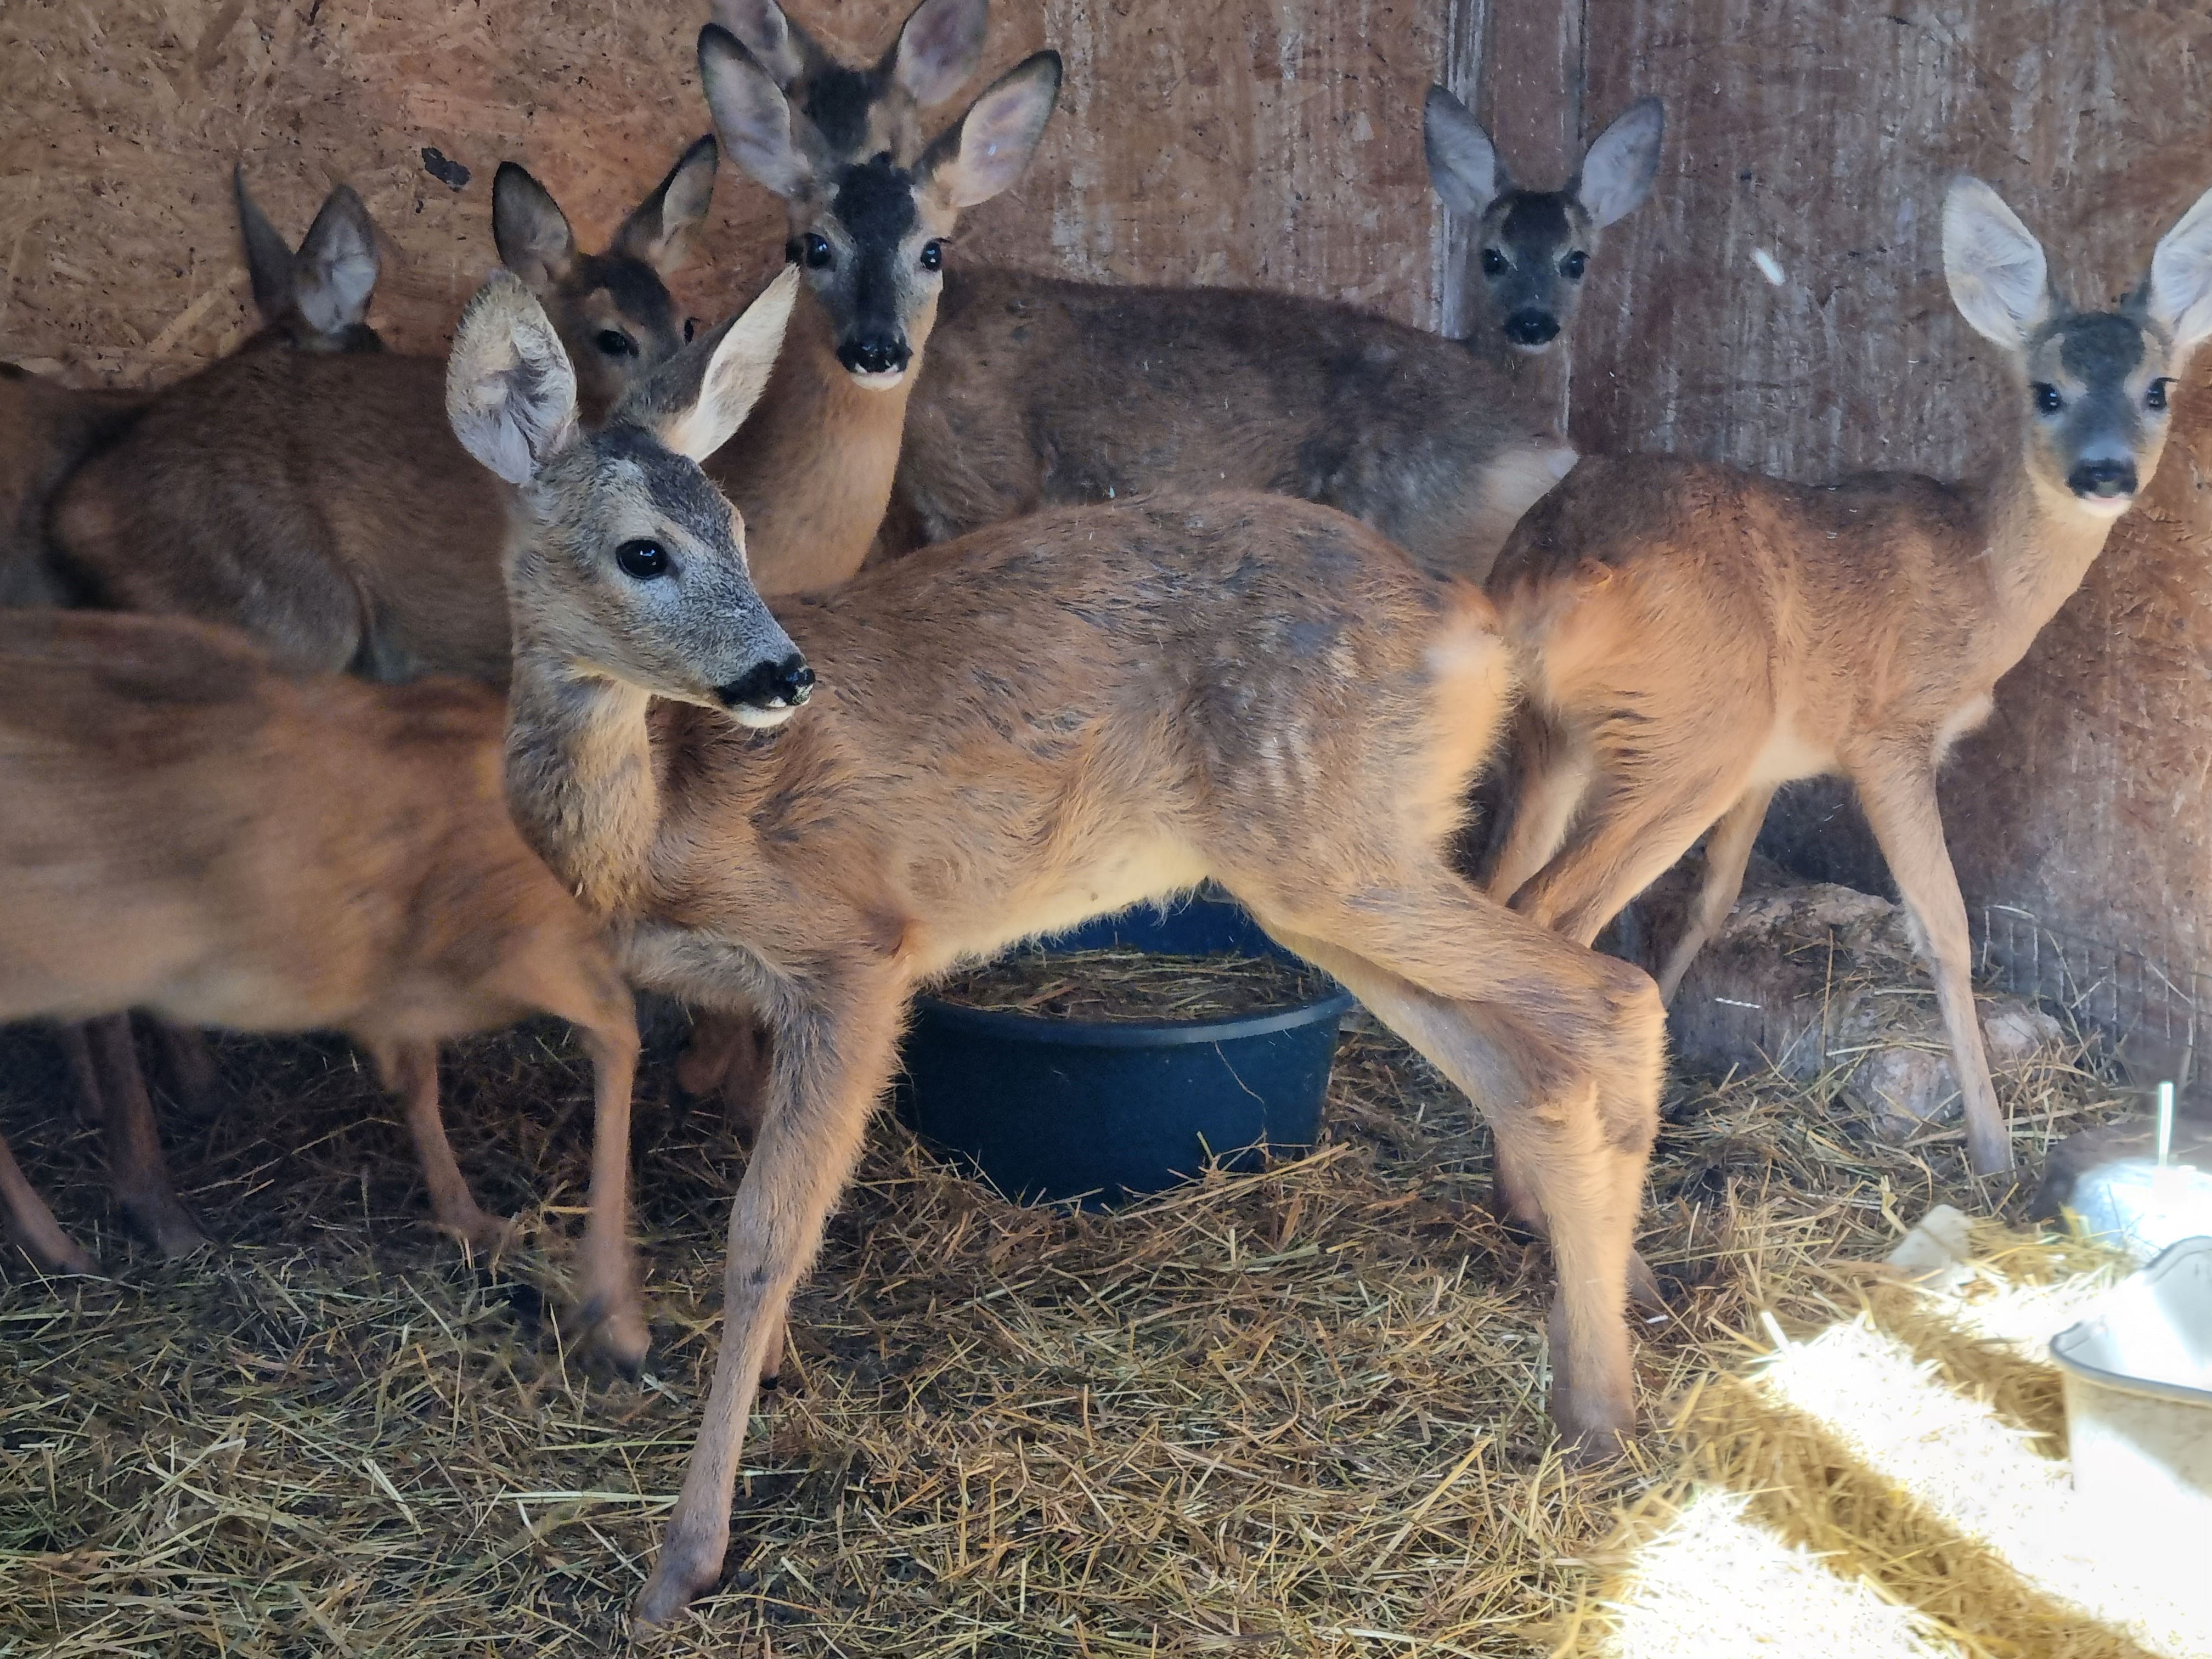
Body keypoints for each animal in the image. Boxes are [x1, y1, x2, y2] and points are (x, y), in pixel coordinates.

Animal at [0, 606, 652, 1369]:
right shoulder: (508, 940)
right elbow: (614, 1029)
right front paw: (616, 1317)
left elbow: (419, 1078)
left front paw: (474, 1222)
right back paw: (67, 1244)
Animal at [444, 265, 1668, 1625]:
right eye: (643, 552)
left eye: (742, 533)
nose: (782, 674)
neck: (660, 825)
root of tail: (1476, 623)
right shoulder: (702, 989)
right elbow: (661, 1127)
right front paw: (705, 1356)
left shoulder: (854, 952)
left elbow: (765, 1232)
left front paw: (684, 1559)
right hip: (1336, 867)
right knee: (1530, 1063)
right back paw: (1596, 1373)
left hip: (1330, 845)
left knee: (1611, 995)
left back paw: (1608, 1402)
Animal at [1482, 174, 2212, 1178]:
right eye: (2048, 391)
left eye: (2156, 387)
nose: (2104, 472)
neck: (1982, 578)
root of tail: (1555, 570)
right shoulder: (1889, 734)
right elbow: (1944, 926)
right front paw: (1993, 1148)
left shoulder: (1771, 765)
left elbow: (1715, 899)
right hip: (1687, 738)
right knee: (1548, 910)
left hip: (1563, 735)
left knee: (1488, 891)